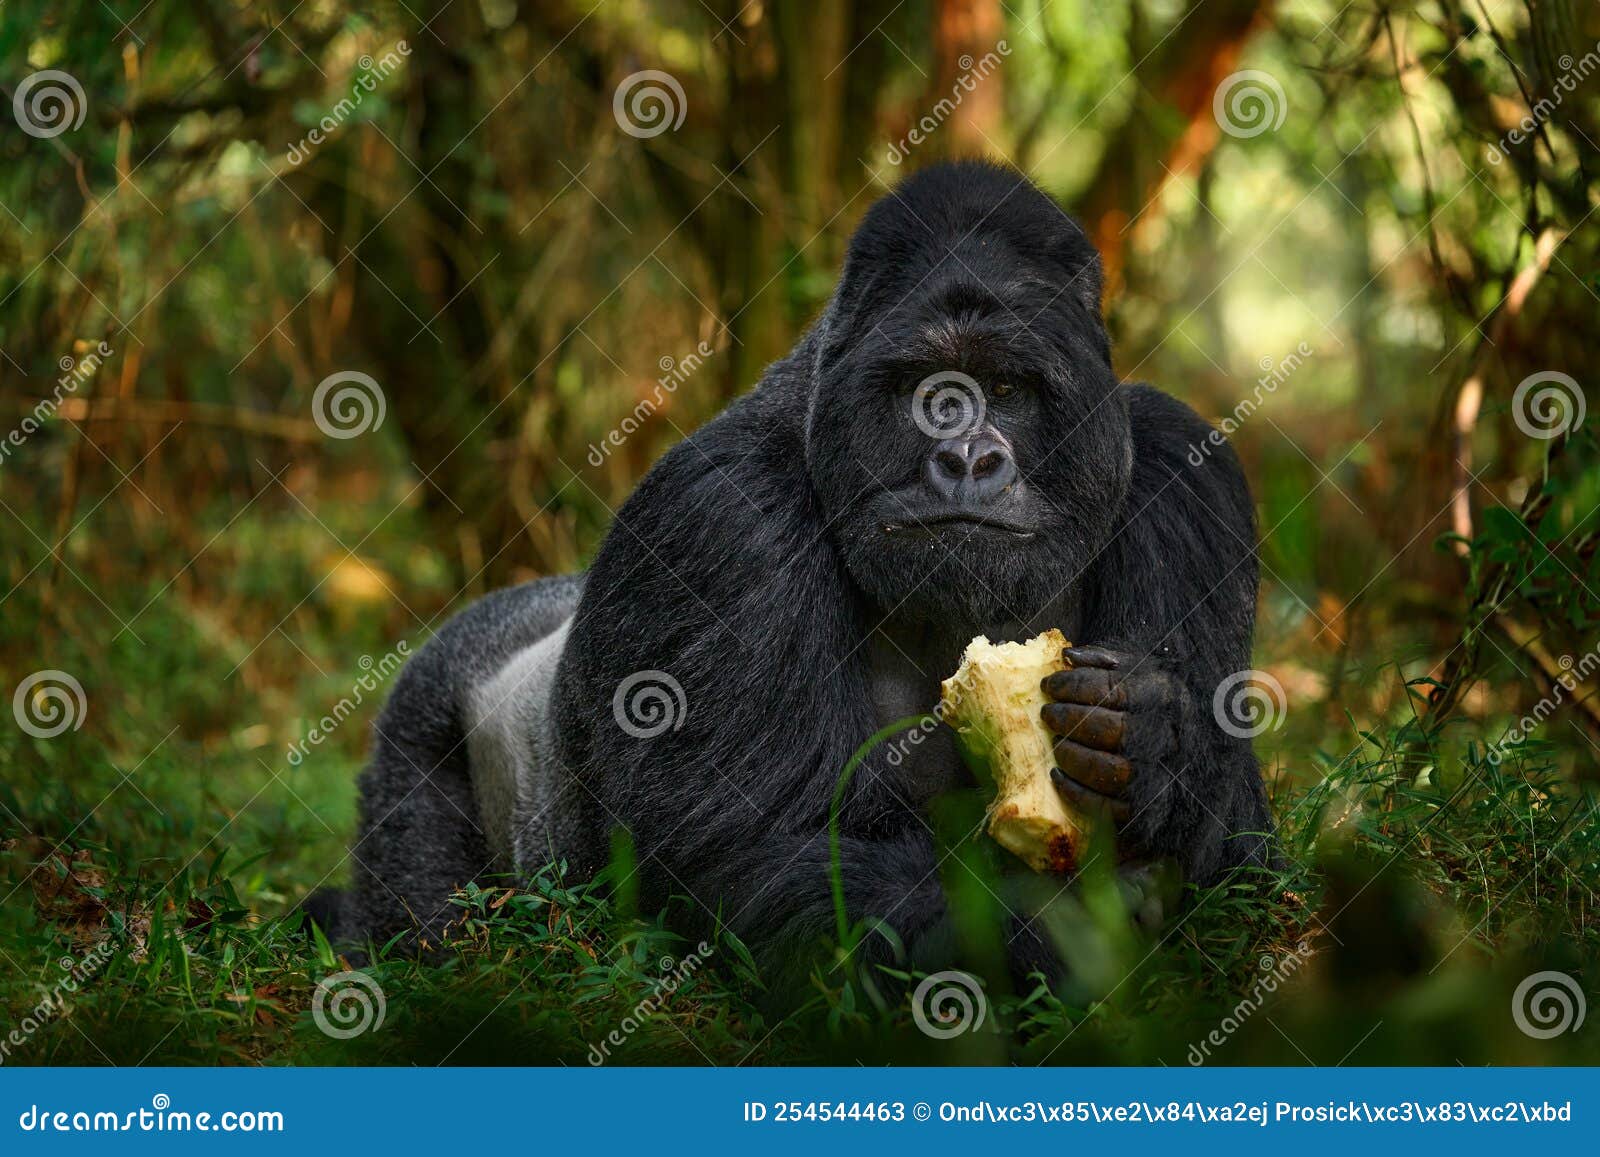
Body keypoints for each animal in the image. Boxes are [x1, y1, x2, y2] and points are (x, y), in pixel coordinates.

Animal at [305, 160, 1267, 985]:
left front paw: (1153, 740)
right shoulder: (717, 517)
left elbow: (1242, 858)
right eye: (927, 393)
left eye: (1010, 389)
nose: (967, 457)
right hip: (418, 719)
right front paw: (1048, 934)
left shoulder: (1187, 476)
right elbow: (760, 854)